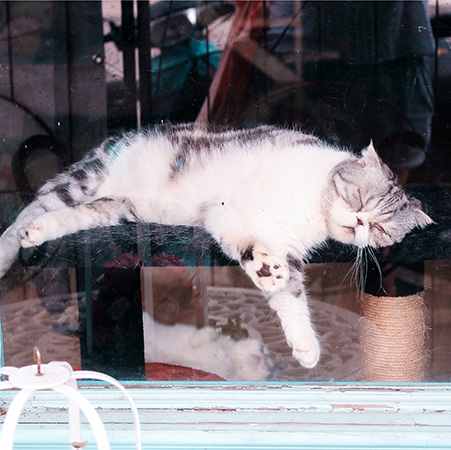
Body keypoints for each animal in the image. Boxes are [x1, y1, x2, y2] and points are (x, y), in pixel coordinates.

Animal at [0, 124, 432, 370]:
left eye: (379, 227)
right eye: (359, 199)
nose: (359, 223)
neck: (312, 208)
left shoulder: (264, 236)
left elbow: (289, 291)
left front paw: (305, 345)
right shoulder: (229, 210)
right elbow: (255, 251)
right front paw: (268, 271)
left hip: (114, 211)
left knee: (60, 216)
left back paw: (36, 233)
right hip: (85, 181)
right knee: (28, 211)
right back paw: (10, 247)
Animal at [143, 312, 274, 382]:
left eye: (267, 364)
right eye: (262, 349)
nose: (262, 356)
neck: (232, 358)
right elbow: (209, 332)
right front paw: (194, 341)